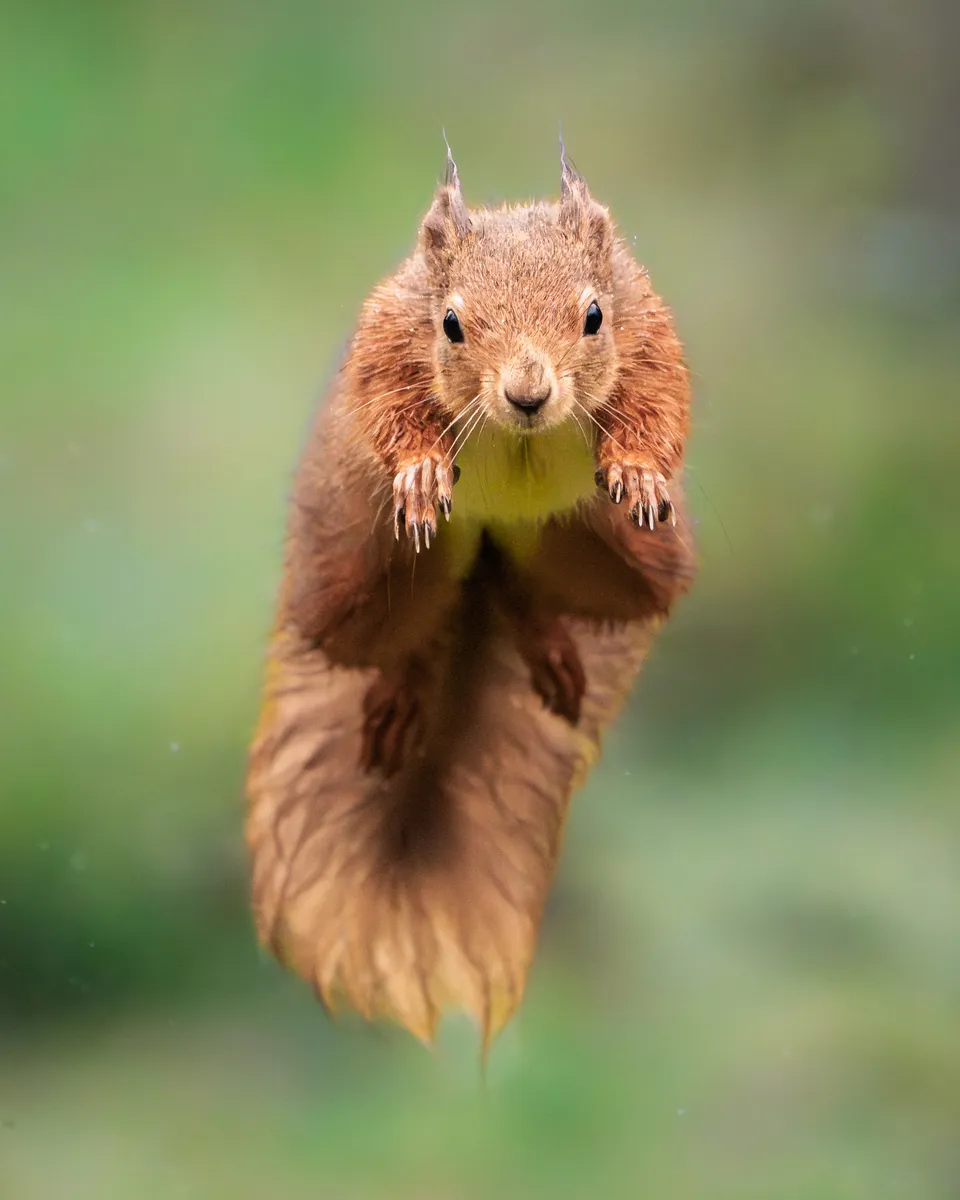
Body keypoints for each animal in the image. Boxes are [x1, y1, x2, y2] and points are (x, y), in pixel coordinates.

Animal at [245, 143, 696, 1047]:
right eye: (451, 324)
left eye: (594, 316)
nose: (528, 394)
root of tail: (486, 549)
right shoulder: (389, 333)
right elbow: (387, 402)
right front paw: (419, 467)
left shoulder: (649, 322)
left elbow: (661, 399)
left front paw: (638, 467)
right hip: (353, 579)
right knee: (414, 625)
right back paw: (406, 687)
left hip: (624, 558)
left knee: (525, 587)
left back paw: (547, 646)